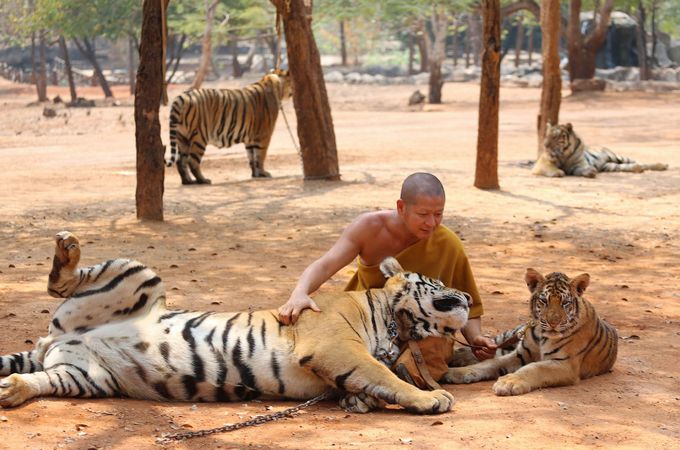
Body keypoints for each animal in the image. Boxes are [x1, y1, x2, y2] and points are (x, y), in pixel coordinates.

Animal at [0, 234, 470, 414]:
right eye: (441, 283)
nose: (467, 296)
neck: (398, 324)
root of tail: (56, 339)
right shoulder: (334, 344)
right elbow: (382, 374)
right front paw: (432, 398)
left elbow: (373, 381)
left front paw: (361, 401)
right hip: (137, 275)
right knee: (63, 281)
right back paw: (67, 251)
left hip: (86, 376)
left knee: (41, 380)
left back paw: (11, 390)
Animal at [444, 268, 620, 396]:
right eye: (544, 301)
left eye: (565, 303)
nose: (553, 323)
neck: (543, 336)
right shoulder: (520, 354)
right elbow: (490, 363)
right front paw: (454, 373)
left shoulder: (565, 364)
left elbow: (534, 368)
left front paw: (509, 382)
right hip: (511, 335)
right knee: (489, 347)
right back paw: (457, 356)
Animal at [532, 123, 668, 179]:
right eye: (546, 136)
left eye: (555, 137)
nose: (545, 145)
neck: (565, 153)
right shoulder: (543, 162)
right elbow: (550, 167)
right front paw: (558, 172)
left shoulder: (578, 164)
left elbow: (584, 168)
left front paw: (591, 171)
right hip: (611, 166)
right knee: (636, 165)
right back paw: (639, 168)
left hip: (617, 157)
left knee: (641, 162)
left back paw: (663, 165)